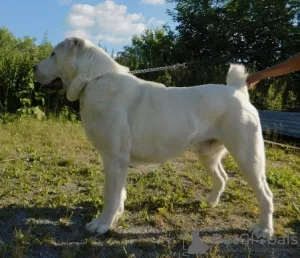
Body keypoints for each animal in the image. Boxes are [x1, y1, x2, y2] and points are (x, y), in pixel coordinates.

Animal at [35, 37, 274, 239]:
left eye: (53, 54)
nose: (34, 68)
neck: (93, 79)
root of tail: (238, 92)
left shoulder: (114, 159)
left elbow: (110, 195)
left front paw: (102, 224)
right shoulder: (118, 163)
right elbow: (119, 193)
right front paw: (117, 214)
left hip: (248, 157)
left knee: (265, 195)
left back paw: (263, 229)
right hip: (208, 154)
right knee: (222, 178)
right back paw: (210, 202)